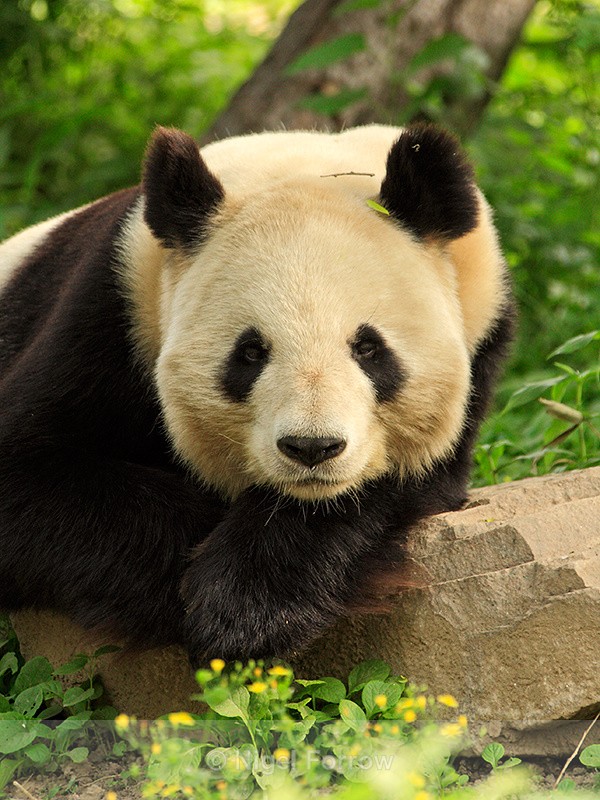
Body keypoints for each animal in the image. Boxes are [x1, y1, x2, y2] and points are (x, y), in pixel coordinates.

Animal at [0, 124, 513, 663]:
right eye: (250, 352)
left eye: (368, 347)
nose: (312, 448)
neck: (301, 163)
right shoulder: (110, 313)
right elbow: (26, 473)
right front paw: (215, 594)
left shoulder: (482, 334)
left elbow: (394, 479)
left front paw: (251, 604)